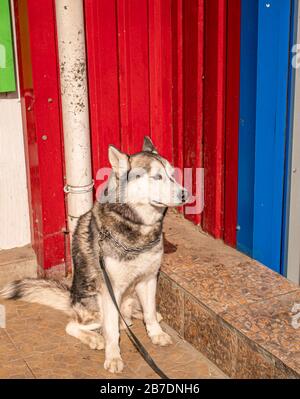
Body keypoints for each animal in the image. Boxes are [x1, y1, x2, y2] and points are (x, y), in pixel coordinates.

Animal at [1, 138, 190, 376]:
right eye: (157, 177)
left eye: (172, 174)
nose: (185, 194)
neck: (138, 229)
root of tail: (71, 298)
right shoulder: (110, 291)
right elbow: (111, 333)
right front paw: (113, 357)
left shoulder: (148, 280)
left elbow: (149, 313)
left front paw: (155, 333)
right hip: (94, 304)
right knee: (74, 325)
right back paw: (95, 338)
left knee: (130, 316)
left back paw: (143, 317)